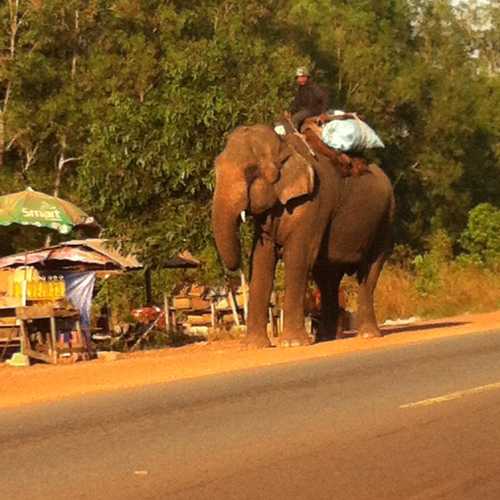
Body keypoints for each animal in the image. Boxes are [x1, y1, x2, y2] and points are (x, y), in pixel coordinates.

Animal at [211, 124, 394, 348]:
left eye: (251, 171)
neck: (284, 145)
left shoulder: (314, 204)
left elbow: (298, 257)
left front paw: (292, 344)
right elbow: (261, 260)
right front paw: (253, 346)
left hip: (385, 221)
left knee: (370, 270)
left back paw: (367, 335)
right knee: (327, 278)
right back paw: (326, 338)